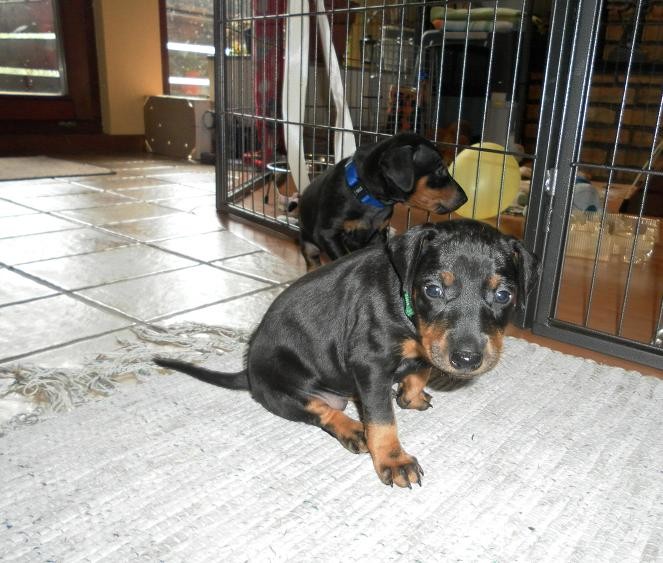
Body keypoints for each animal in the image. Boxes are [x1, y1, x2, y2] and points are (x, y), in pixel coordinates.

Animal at [155, 220, 539, 488]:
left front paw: (411, 395)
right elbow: (382, 420)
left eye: (504, 295)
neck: (403, 298)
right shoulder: (371, 364)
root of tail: (248, 371)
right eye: (433, 290)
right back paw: (354, 430)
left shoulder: (424, 344)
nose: (467, 360)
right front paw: (394, 460)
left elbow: (421, 367)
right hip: (281, 392)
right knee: (320, 410)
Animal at [297, 132, 468, 269]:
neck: (369, 199)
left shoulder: (378, 235)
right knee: (312, 261)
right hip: (309, 245)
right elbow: (342, 257)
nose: (465, 199)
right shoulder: (328, 234)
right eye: (440, 169)